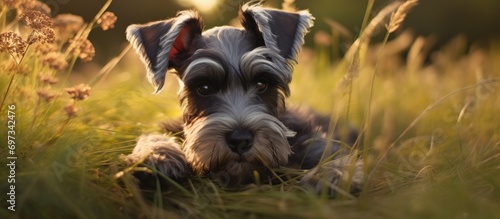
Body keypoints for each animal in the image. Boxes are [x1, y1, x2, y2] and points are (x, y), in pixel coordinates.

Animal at [123, 3, 362, 195]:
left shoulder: (318, 143)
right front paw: (158, 156)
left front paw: (331, 175)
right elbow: (153, 133)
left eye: (261, 83)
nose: (240, 140)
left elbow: (340, 158)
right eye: (204, 87)